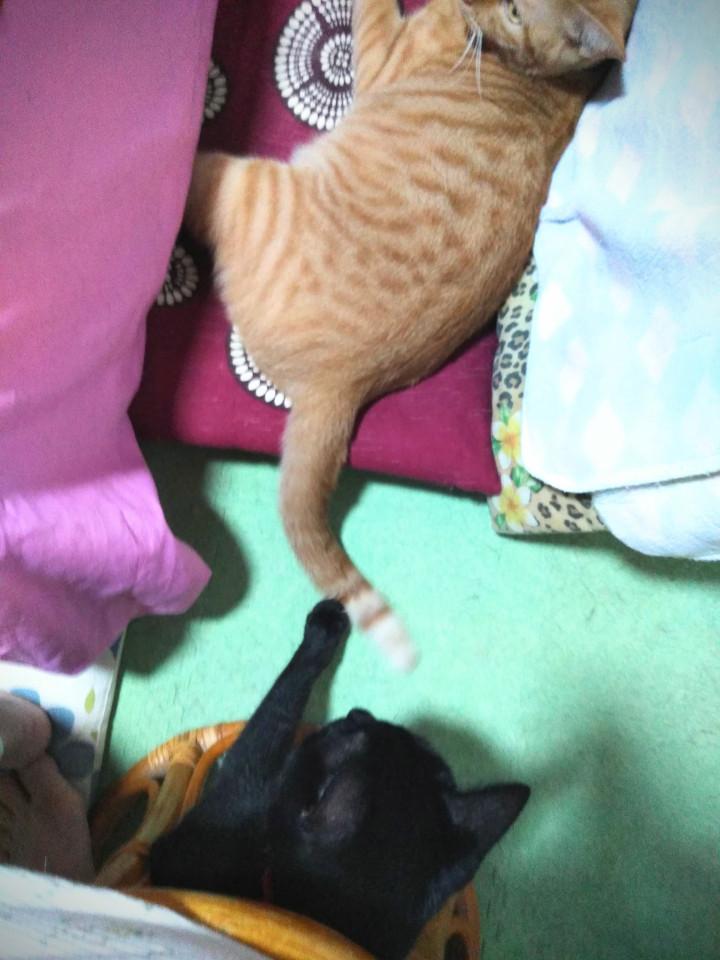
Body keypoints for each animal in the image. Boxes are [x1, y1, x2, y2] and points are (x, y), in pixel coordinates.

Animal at [150, 599, 530, 959]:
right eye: (413, 738)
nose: (356, 713)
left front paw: (322, 630)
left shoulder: (239, 791)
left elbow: (276, 711)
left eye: (345, 733)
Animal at [185, 0, 637, 669]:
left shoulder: (381, 59)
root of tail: (341, 385)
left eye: (513, 10)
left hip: (241, 183)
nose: (472, 5)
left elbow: (373, 12)